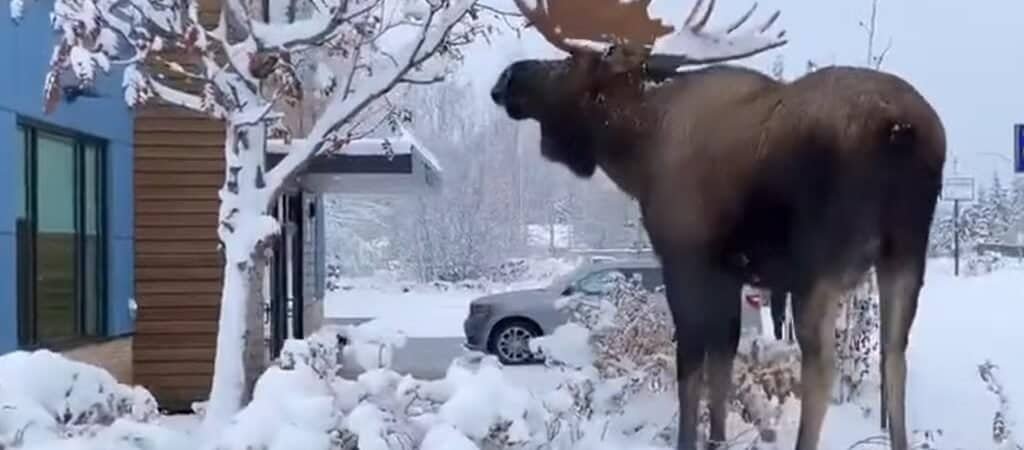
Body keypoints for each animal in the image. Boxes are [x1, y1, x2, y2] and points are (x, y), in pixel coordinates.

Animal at [488, 0, 946, 449]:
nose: (507, 77)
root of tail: (900, 129)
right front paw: (718, 440)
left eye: (571, 62)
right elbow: (723, 362)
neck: (637, 155)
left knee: (822, 368)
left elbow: (690, 367)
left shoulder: (684, 257)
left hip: (819, 266)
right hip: (905, 254)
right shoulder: (730, 271)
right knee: (895, 357)